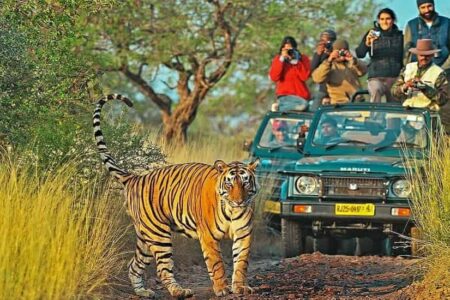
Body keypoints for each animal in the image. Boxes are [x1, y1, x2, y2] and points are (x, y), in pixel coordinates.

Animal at [92, 94, 260, 298]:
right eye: (229, 184)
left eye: (245, 183)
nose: (239, 201)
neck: (231, 210)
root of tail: (135, 177)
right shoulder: (209, 237)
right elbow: (217, 264)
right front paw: (222, 289)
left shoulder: (243, 234)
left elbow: (241, 263)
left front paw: (240, 287)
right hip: (158, 234)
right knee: (163, 268)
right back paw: (179, 291)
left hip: (145, 238)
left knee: (133, 265)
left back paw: (144, 292)